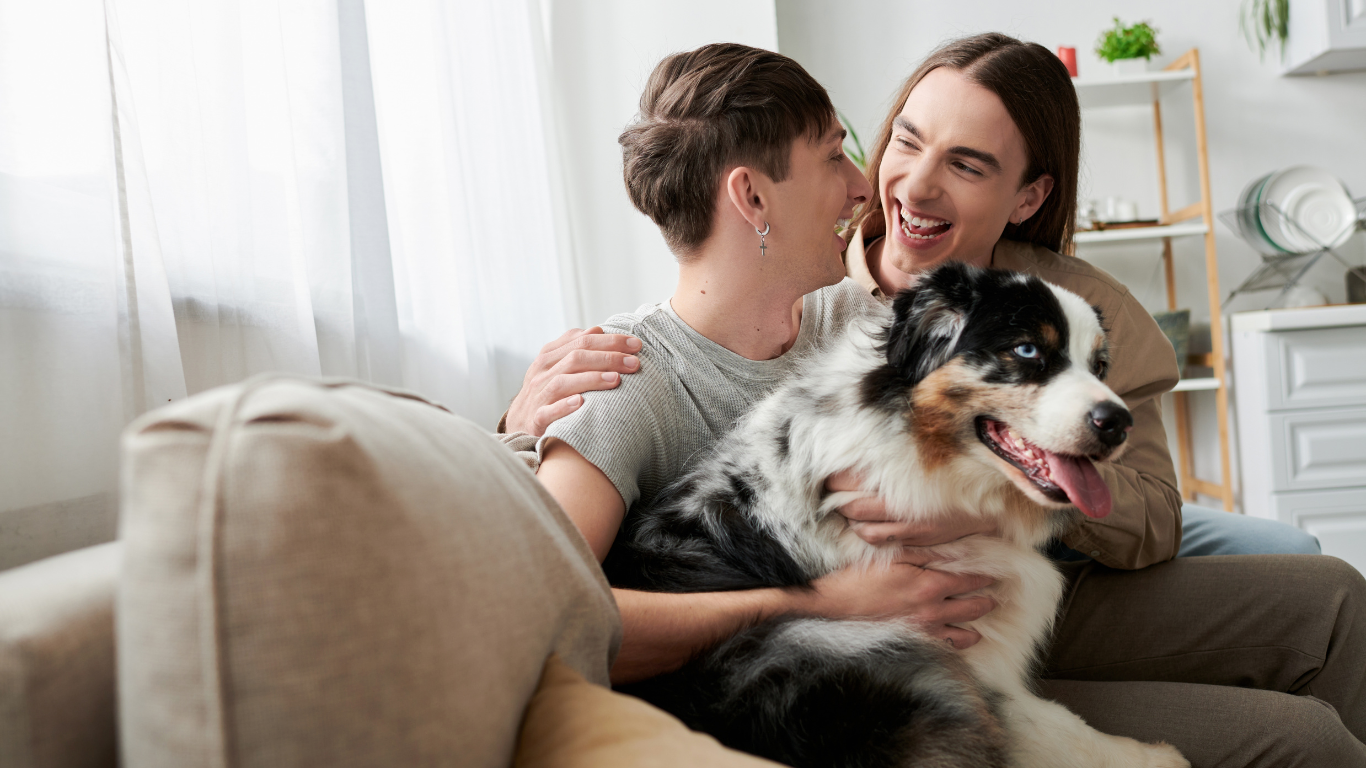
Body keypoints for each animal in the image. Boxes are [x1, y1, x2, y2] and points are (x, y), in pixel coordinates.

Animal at [603, 262, 1191, 765]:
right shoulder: (968, 660)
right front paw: (1157, 756)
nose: (1118, 423)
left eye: (1099, 366)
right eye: (1026, 350)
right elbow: (1058, 727)